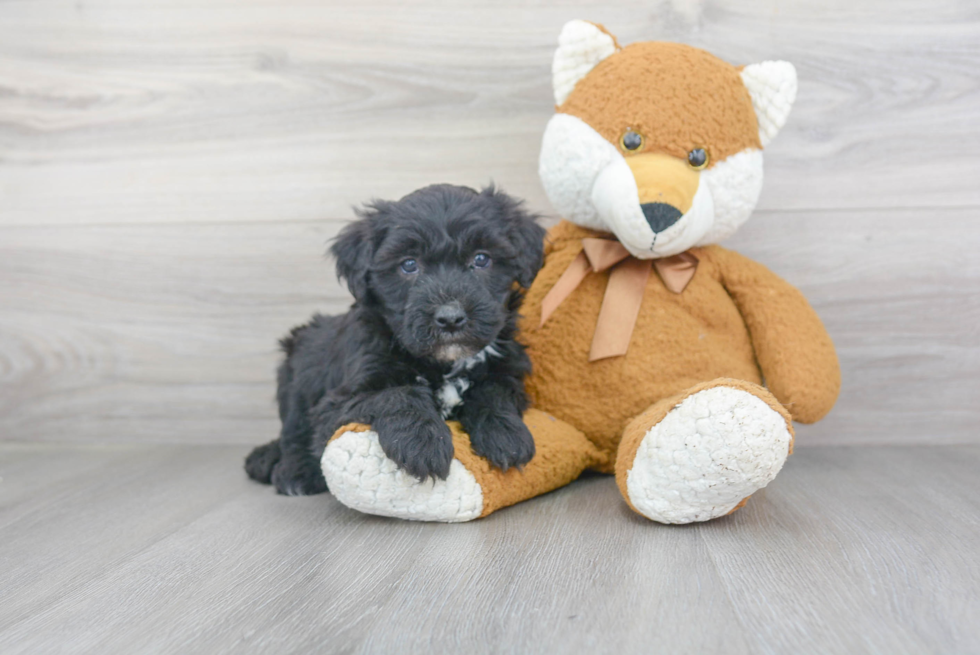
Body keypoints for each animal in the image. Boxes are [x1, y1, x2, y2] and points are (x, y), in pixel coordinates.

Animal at [245, 182, 548, 494]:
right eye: (409, 265)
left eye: (481, 259)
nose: (450, 318)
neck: (443, 363)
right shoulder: (336, 403)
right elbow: (397, 394)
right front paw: (423, 444)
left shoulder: (507, 368)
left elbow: (493, 390)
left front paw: (506, 434)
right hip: (298, 367)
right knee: (292, 433)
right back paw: (294, 471)